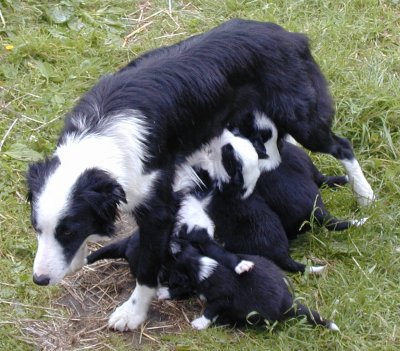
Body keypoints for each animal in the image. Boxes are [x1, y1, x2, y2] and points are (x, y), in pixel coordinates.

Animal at [27, 19, 372, 332]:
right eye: (36, 228)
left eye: (68, 231)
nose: (39, 280)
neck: (100, 140)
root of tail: (291, 36)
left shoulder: (158, 209)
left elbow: (148, 267)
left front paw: (133, 313)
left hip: (302, 118)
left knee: (342, 146)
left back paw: (365, 194)